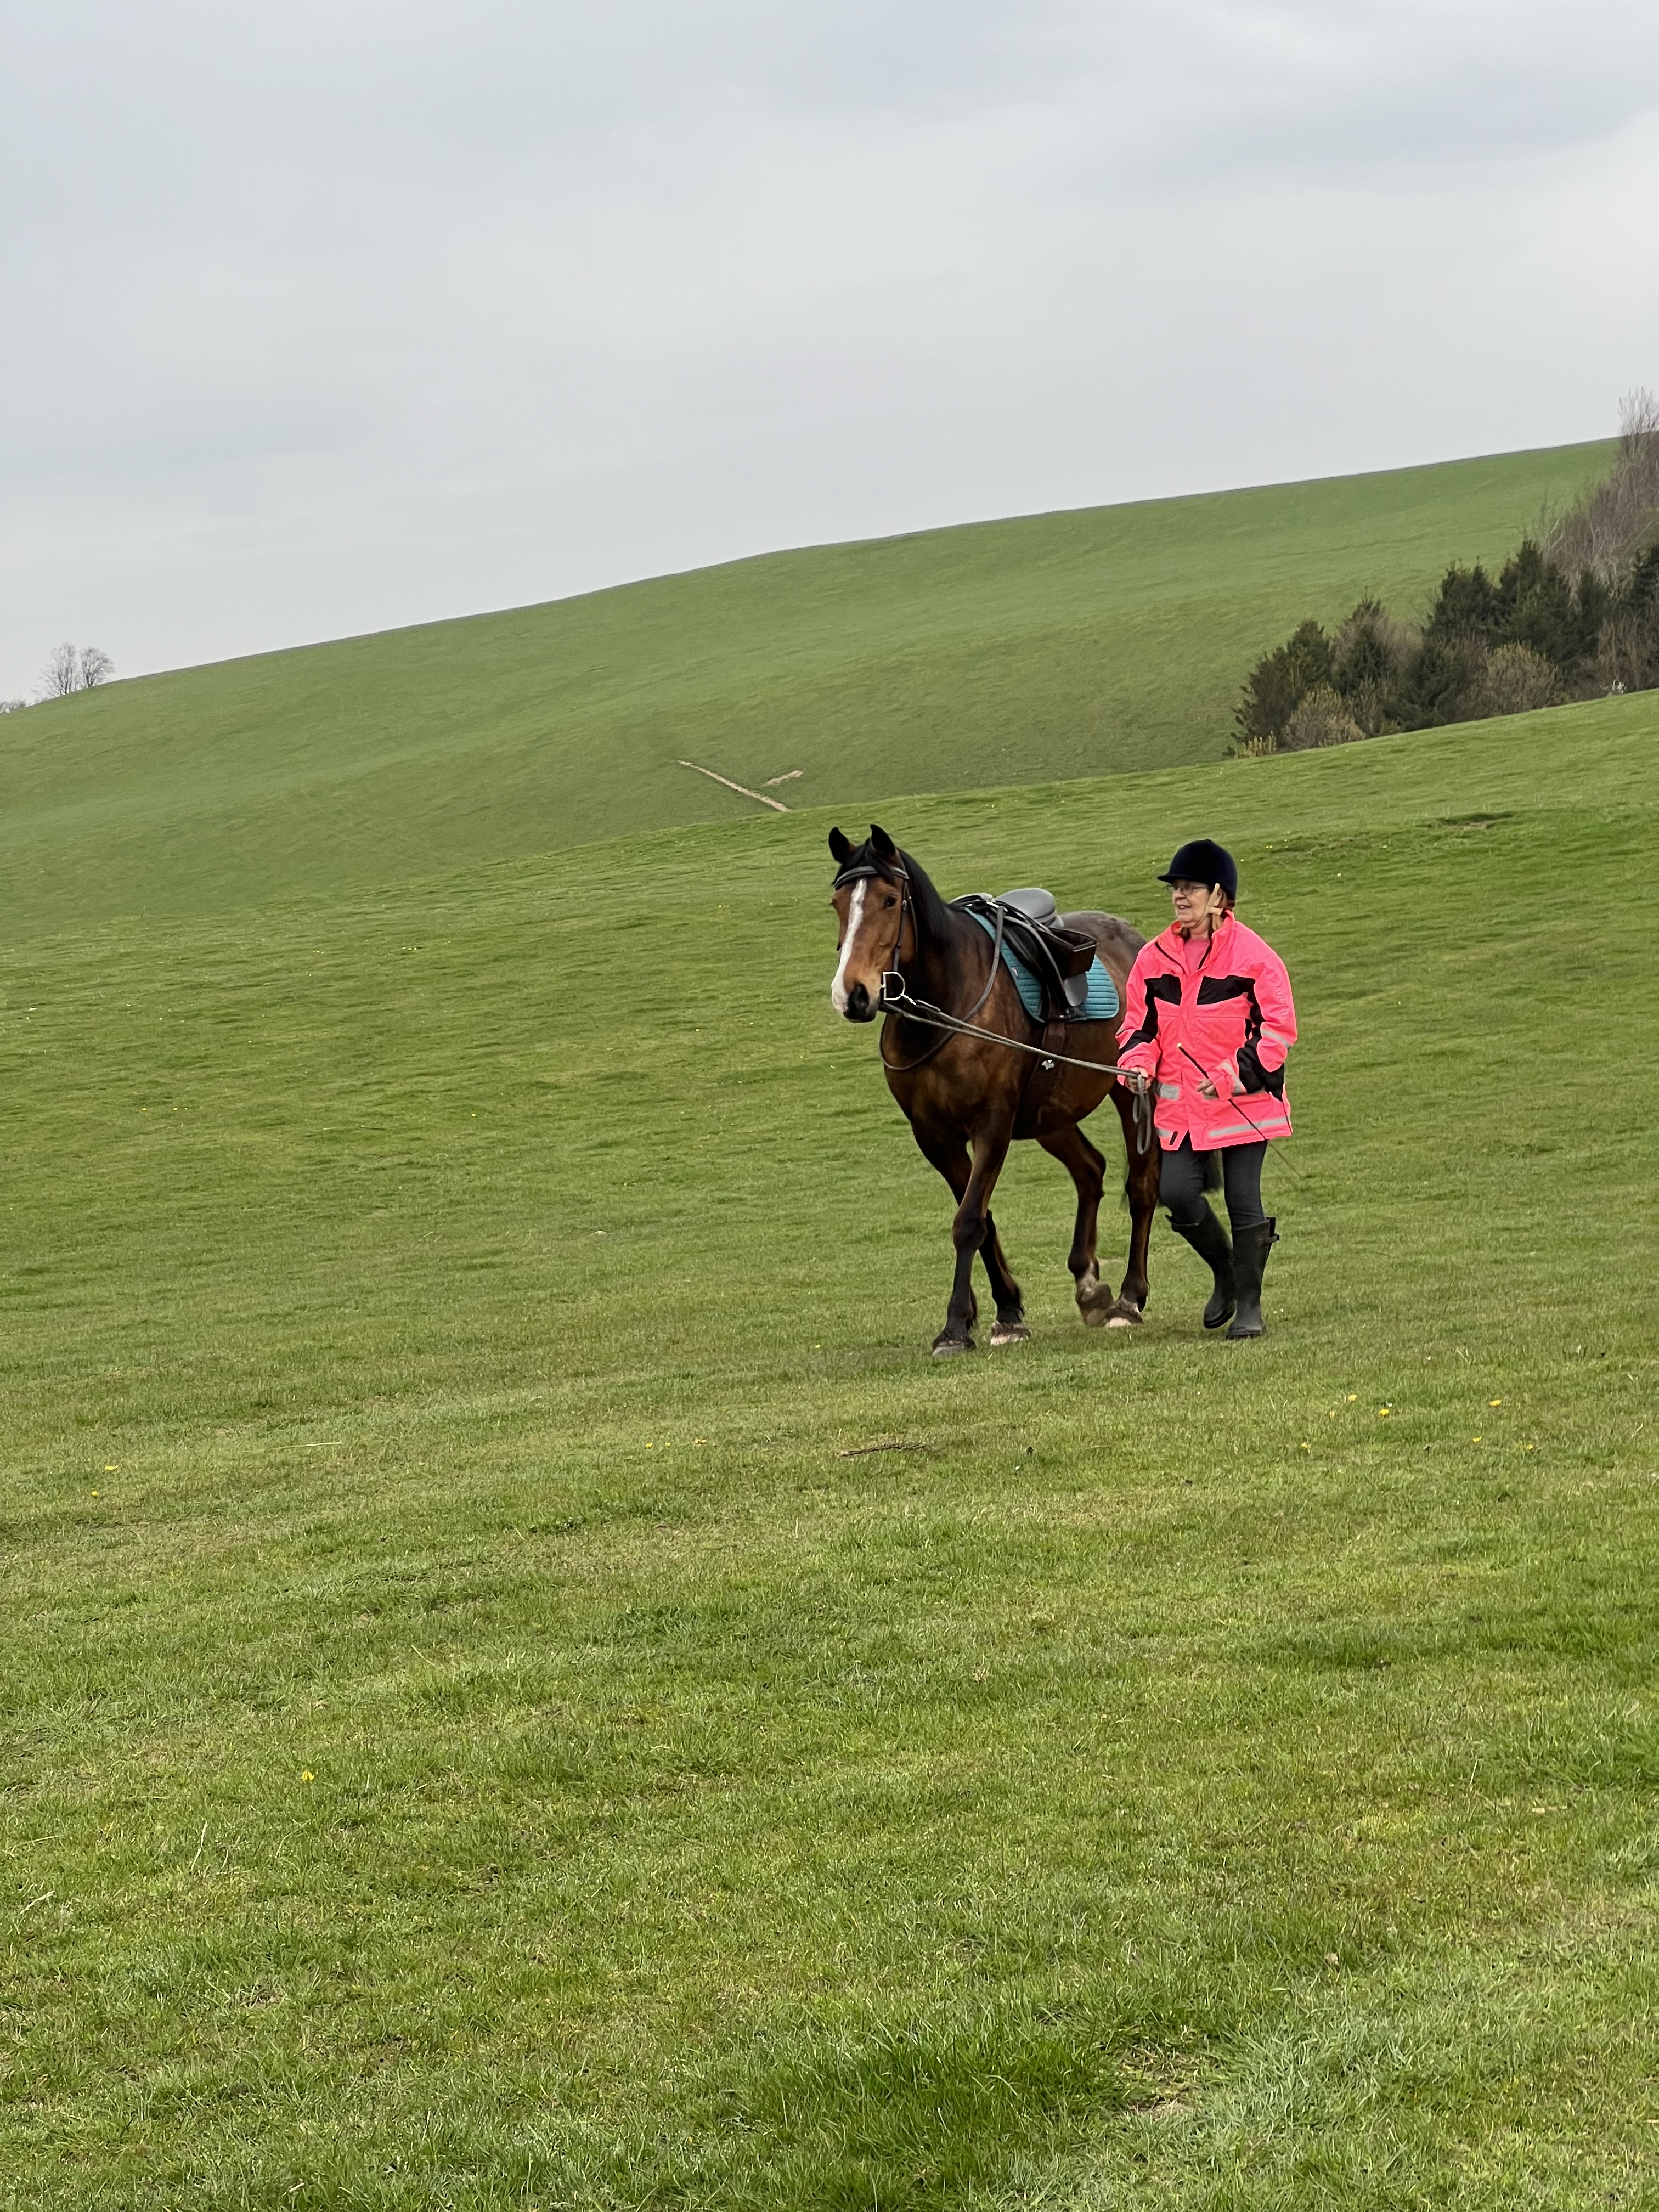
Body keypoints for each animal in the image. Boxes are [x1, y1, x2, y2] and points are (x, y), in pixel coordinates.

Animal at [828, 823, 1161, 1354]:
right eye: (838, 902)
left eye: (889, 900)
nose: (852, 994)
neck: (947, 1004)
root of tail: (1131, 936)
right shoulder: (935, 1137)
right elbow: (982, 1220)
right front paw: (1005, 1310)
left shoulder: (992, 1126)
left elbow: (969, 1222)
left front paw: (955, 1327)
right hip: (1051, 1114)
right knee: (1090, 1170)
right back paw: (1089, 1285)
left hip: (1133, 1091)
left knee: (1143, 1186)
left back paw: (1129, 1300)